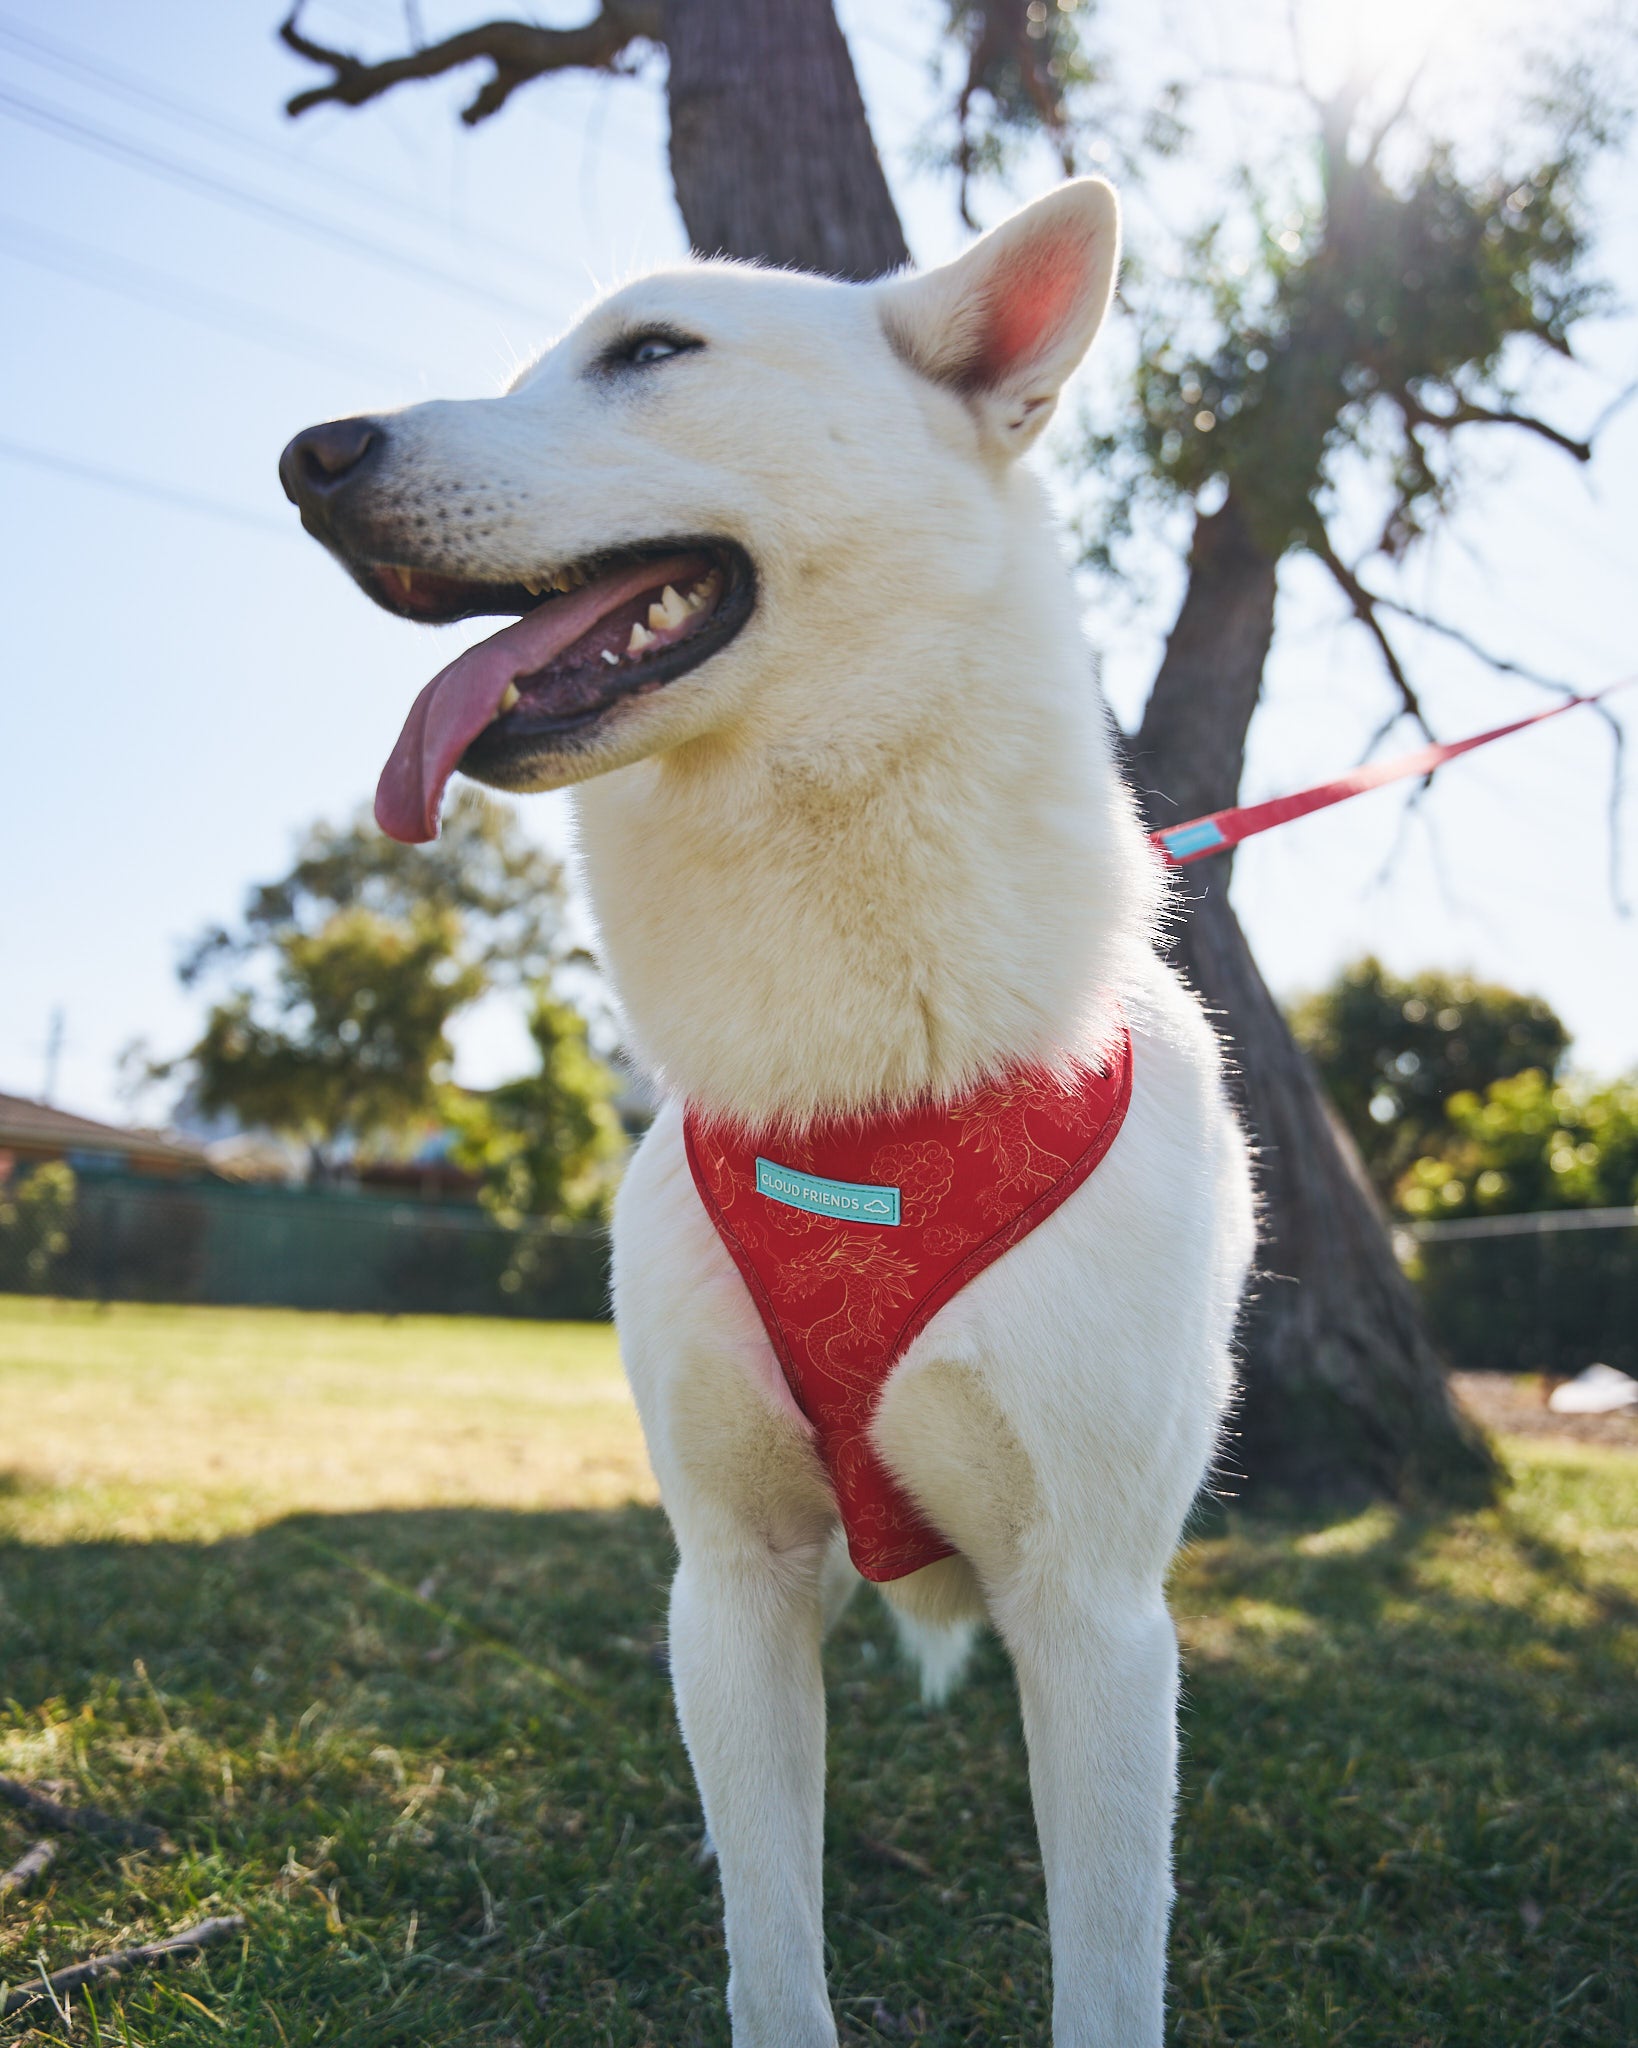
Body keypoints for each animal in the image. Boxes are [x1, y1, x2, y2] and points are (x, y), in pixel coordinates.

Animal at [278, 184, 1253, 2039]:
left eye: (651, 351)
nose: (309, 451)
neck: (860, 1087)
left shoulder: (1095, 1611)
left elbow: (1105, 1958)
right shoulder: (728, 1580)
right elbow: (771, 1944)